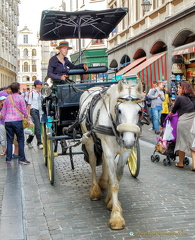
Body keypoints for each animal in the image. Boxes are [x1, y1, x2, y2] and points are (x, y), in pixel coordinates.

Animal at [79, 80, 143, 229]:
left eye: (139, 111)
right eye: (119, 110)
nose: (129, 141)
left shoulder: (125, 151)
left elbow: (117, 176)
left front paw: (111, 201)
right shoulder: (108, 148)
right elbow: (114, 182)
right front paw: (116, 217)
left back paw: (102, 183)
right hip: (89, 140)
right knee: (92, 161)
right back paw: (95, 190)